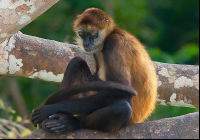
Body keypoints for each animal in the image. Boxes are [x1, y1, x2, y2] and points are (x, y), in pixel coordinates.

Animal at [30, 7, 158, 133]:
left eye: (92, 34)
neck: (112, 33)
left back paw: (72, 122)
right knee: (77, 63)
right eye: (82, 34)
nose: (86, 43)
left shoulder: (113, 44)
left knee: (123, 108)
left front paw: (50, 109)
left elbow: (124, 95)